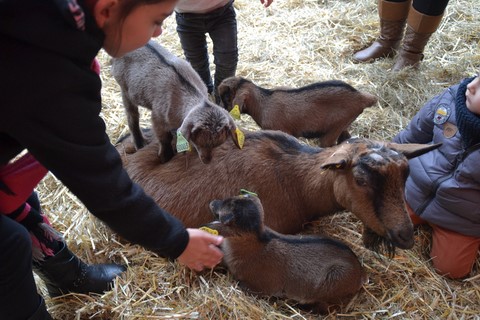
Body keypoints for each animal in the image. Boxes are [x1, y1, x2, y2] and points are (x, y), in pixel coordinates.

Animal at [109, 40, 239, 164]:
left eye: (218, 144)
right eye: (198, 141)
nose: (207, 161)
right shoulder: (158, 118)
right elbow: (164, 139)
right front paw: (165, 157)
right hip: (124, 88)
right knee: (132, 116)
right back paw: (139, 143)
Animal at [206, 194, 368, 314]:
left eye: (224, 205)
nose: (212, 202)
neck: (257, 243)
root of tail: (360, 273)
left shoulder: (257, 286)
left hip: (335, 279)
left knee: (327, 308)